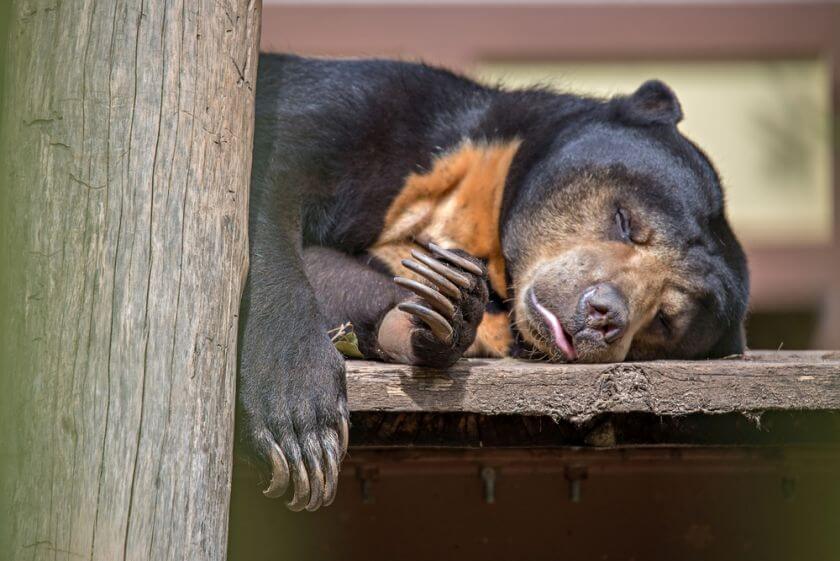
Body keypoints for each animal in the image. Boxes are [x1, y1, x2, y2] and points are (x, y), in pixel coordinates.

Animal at [236, 54, 748, 510]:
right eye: (627, 222)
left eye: (664, 319)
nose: (604, 314)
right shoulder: (359, 103)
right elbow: (267, 183)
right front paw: (301, 421)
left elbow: (340, 274)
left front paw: (442, 308)